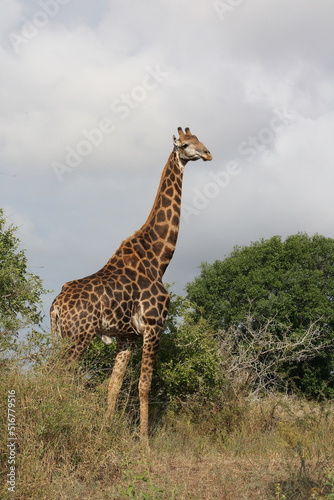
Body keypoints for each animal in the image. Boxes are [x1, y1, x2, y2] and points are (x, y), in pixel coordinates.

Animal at [50, 127, 211, 444]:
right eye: (187, 145)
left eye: (200, 140)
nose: (208, 153)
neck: (159, 259)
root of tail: (55, 306)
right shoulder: (154, 325)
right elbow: (144, 386)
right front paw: (145, 445)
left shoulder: (127, 337)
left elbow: (115, 386)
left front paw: (105, 433)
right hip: (79, 336)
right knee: (59, 373)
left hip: (63, 336)